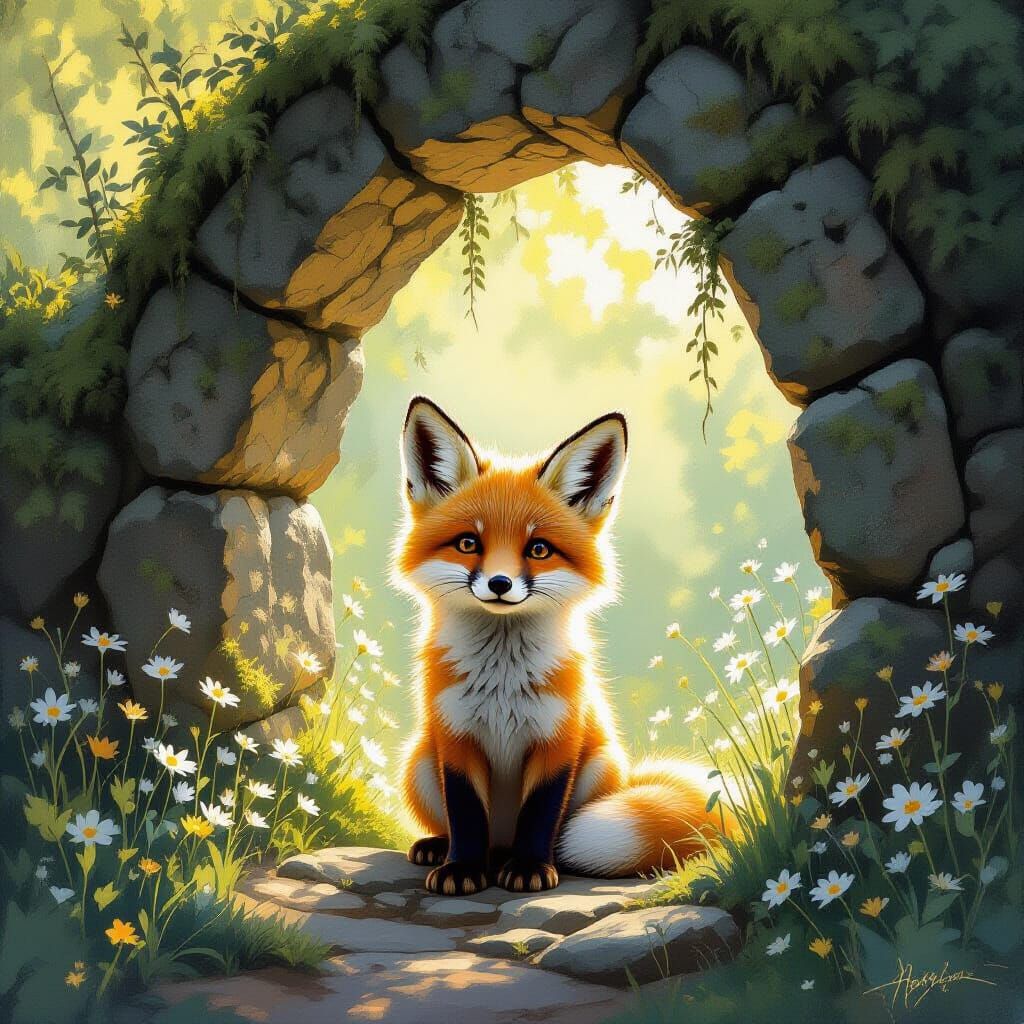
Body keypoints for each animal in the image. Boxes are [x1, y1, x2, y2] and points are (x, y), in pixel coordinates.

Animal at [393, 397, 729, 896]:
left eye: (538, 549)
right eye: (468, 543)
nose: (499, 584)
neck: (502, 683)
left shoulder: (559, 739)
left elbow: (540, 813)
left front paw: (531, 868)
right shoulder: (454, 736)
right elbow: (466, 813)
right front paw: (462, 869)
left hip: (600, 765)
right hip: (418, 762)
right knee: (459, 827)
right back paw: (441, 847)